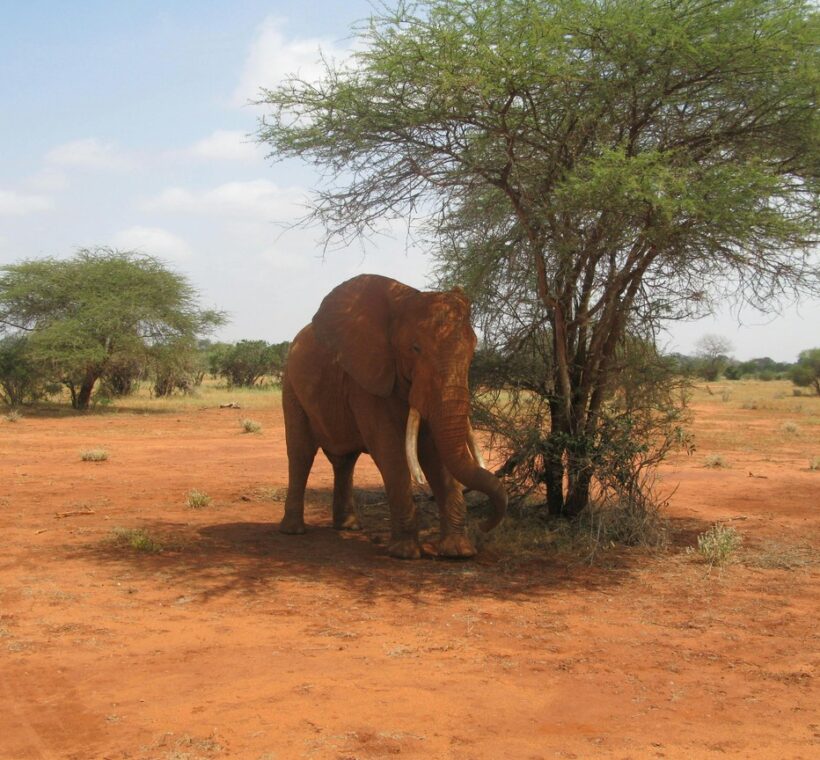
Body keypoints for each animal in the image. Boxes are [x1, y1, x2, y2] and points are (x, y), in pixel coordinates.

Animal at [279, 274, 507, 559]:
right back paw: (293, 530)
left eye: (473, 349)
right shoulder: (367, 379)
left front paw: (459, 551)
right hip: (291, 385)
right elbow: (390, 449)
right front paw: (405, 553)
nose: (484, 525)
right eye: (415, 348)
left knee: (345, 461)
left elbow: (436, 452)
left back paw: (349, 527)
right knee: (301, 453)